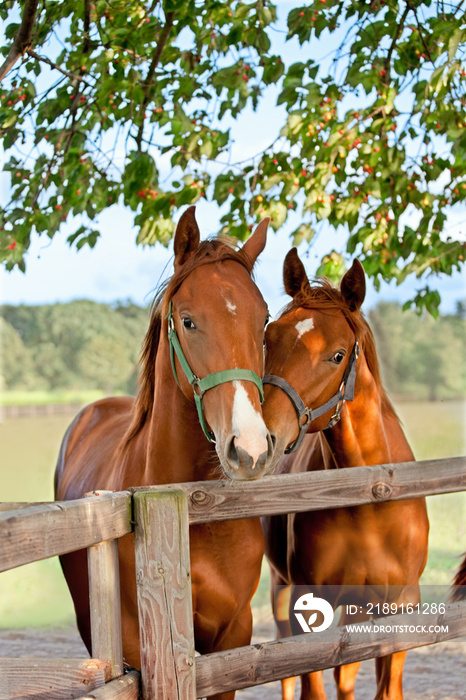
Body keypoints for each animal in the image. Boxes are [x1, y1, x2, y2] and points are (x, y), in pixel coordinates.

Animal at [262, 247, 430, 700]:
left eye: (337, 355)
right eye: (268, 338)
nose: (262, 434)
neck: (368, 499)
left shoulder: (400, 608)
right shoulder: (307, 606)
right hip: (281, 590)